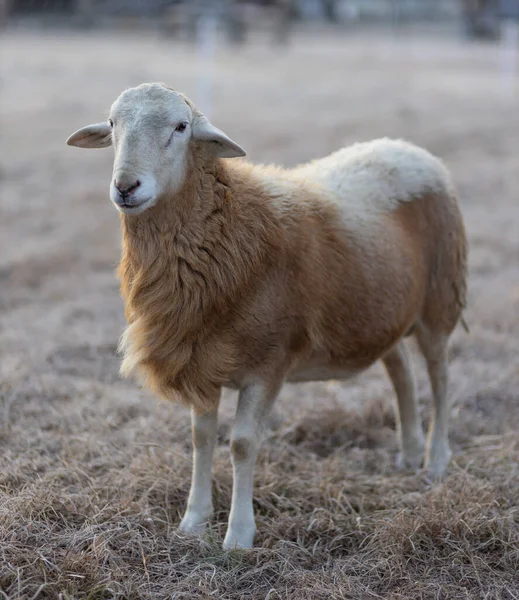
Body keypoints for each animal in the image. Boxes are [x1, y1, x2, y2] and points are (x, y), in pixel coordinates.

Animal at [67, 82, 470, 552]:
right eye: (113, 124)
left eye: (181, 126)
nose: (126, 186)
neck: (232, 225)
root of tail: (407, 147)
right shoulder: (202, 358)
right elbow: (201, 437)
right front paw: (194, 520)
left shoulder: (268, 362)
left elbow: (242, 443)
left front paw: (239, 535)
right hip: (381, 308)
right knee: (401, 371)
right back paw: (407, 453)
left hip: (439, 299)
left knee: (440, 379)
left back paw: (435, 460)